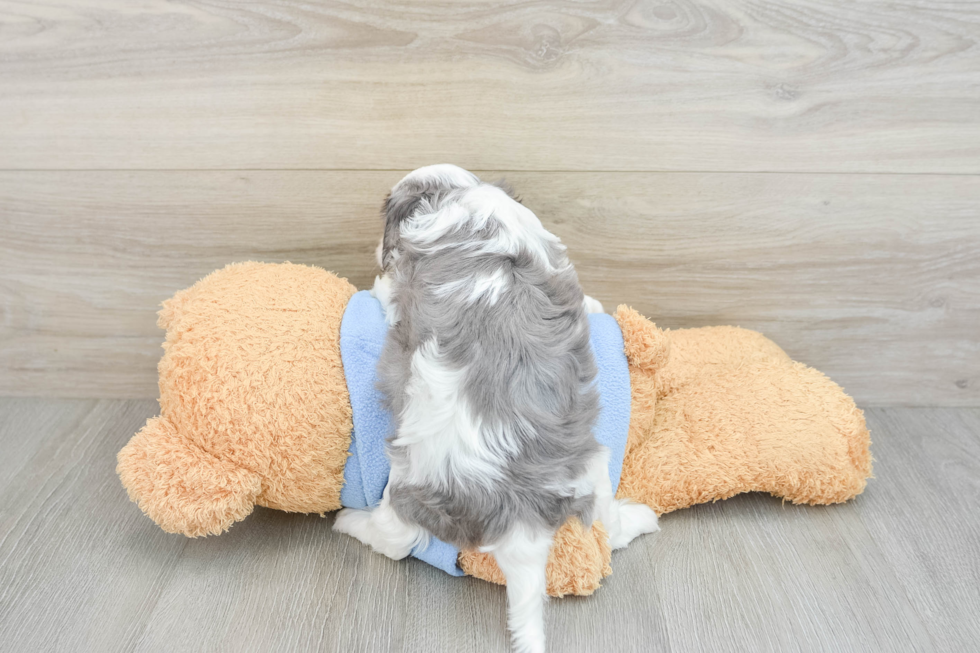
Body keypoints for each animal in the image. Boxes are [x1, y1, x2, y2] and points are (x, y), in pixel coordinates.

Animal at [334, 164, 660, 652]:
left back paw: (349, 522)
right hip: (592, 467)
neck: (466, 199)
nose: (377, 249)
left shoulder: (403, 286)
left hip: (408, 485)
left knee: (397, 539)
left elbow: (388, 290)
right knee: (608, 528)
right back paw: (642, 519)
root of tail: (519, 521)